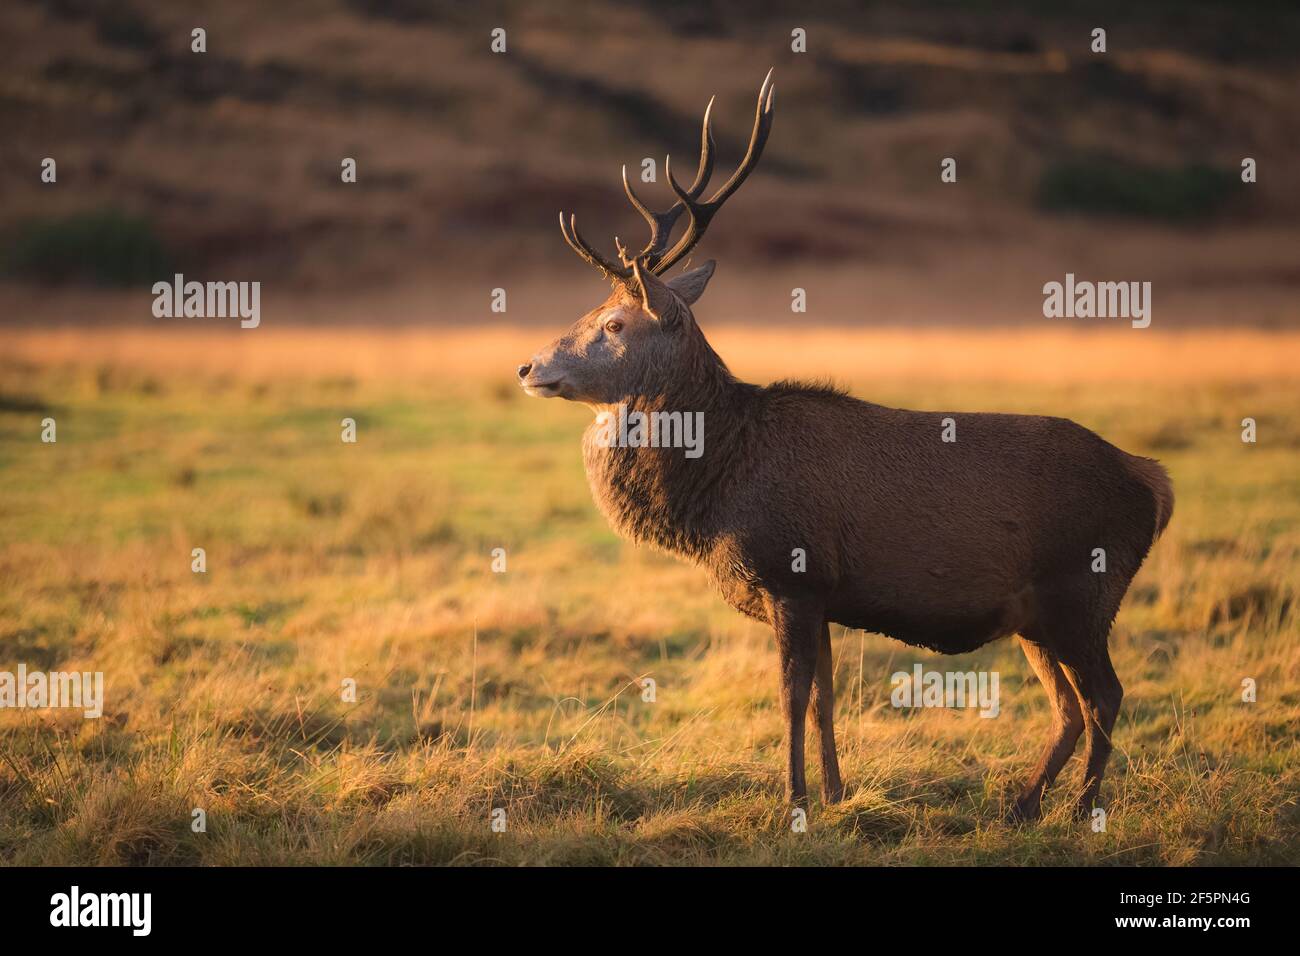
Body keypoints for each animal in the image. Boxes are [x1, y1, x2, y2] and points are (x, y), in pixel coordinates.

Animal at [517, 70, 1173, 819]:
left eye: (616, 323)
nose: (528, 367)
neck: (717, 487)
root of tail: (1155, 484)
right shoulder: (823, 593)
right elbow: (826, 699)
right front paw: (835, 794)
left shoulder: (791, 574)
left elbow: (791, 699)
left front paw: (794, 801)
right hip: (1036, 615)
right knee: (1070, 707)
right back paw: (1023, 804)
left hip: (1082, 590)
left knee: (1106, 697)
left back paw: (1081, 808)